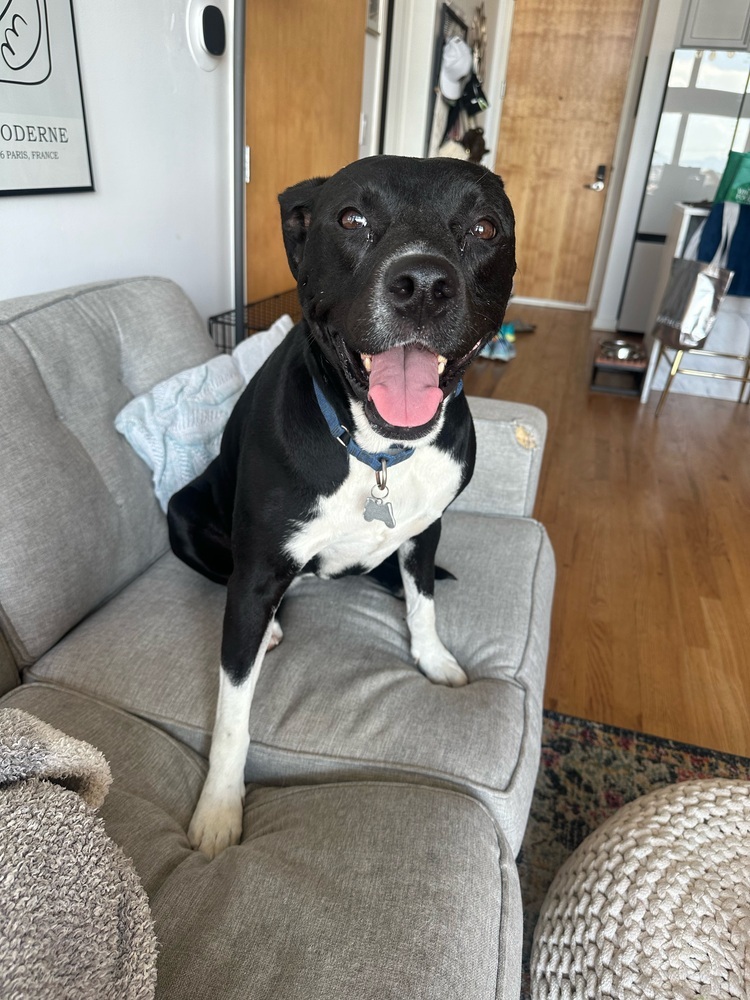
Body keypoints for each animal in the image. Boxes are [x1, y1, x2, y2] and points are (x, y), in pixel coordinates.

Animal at [169, 156, 516, 860]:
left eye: (484, 227)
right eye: (351, 218)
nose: (423, 284)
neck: (376, 450)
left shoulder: (428, 528)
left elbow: (423, 604)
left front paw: (433, 657)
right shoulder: (256, 571)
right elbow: (232, 713)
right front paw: (219, 809)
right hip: (181, 513)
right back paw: (272, 627)